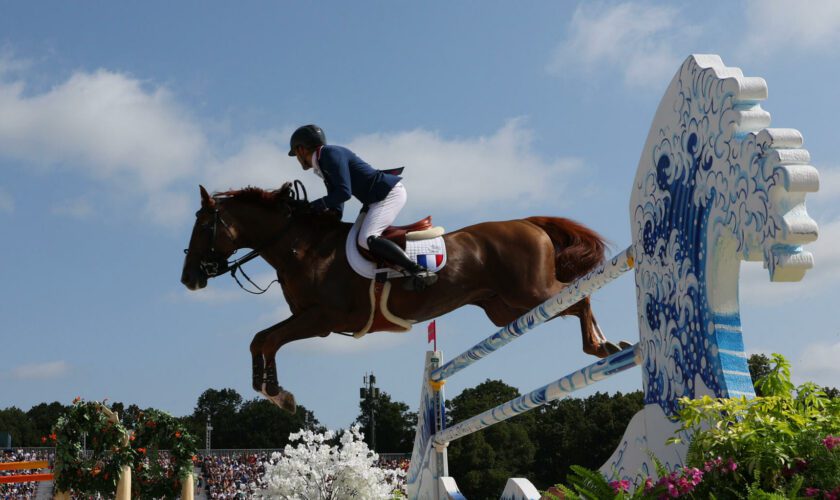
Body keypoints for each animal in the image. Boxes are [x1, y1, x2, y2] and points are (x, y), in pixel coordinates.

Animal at [180, 182, 620, 412]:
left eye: (203, 225)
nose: (188, 279)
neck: (300, 246)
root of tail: (529, 223)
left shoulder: (321, 320)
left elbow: (269, 339)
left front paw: (277, 394)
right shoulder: (308, 318)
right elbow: (260, 340)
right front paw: (270, 389)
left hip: (530, 293)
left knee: (579, 298)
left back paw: (602, 346)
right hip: (506, 309)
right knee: (571, 304)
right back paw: (605, 346)